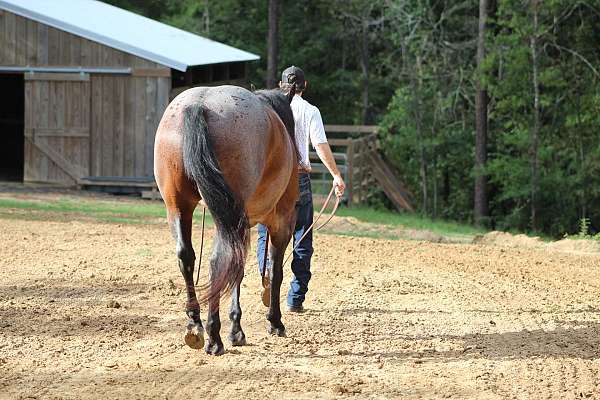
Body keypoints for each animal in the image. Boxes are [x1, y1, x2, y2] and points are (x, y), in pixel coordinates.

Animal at [152, 84, 298, 356]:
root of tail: (200, 104)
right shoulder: (281, 223)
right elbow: (275, 272)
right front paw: (274, 322)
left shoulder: (240, 224)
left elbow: (238, 271)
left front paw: (237, 329)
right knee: (218, 261)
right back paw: (214, 336)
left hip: (179, 207)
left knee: (186, 257)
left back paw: (195, 323)